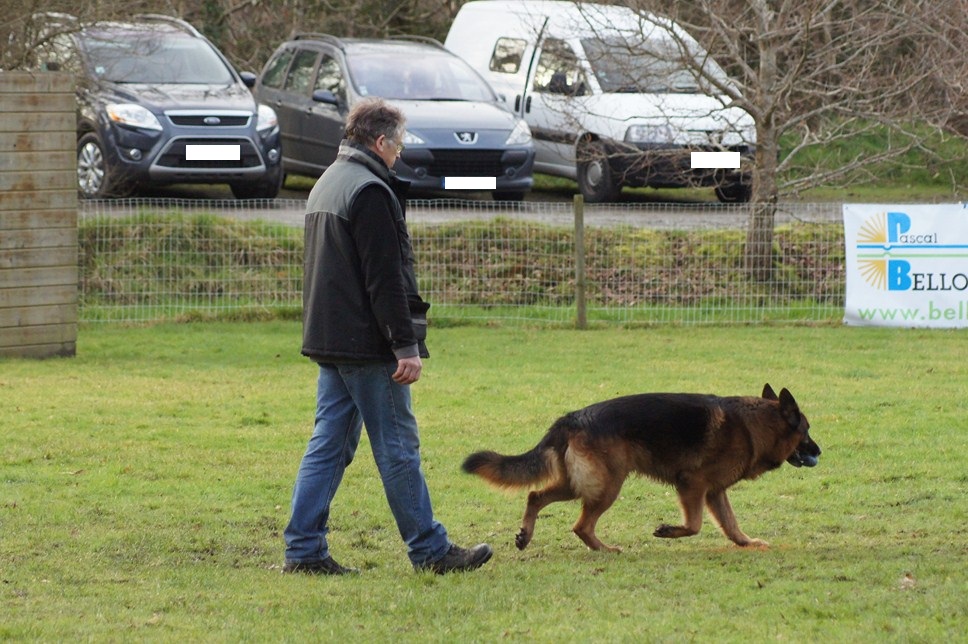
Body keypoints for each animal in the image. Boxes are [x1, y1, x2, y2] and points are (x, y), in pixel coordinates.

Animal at [462, 384, 816, 552]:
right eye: (807, 431)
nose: (820, 451)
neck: (753, 426)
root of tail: (572, 418)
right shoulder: (692, 484)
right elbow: (695, 525)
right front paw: (668, 531)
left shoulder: (714, 492)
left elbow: (731, 525)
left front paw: (747, 543)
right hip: (606, 486)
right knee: (581, 525)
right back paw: (605, 549)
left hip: (578, 484)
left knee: (535, 495)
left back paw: (526, 536)